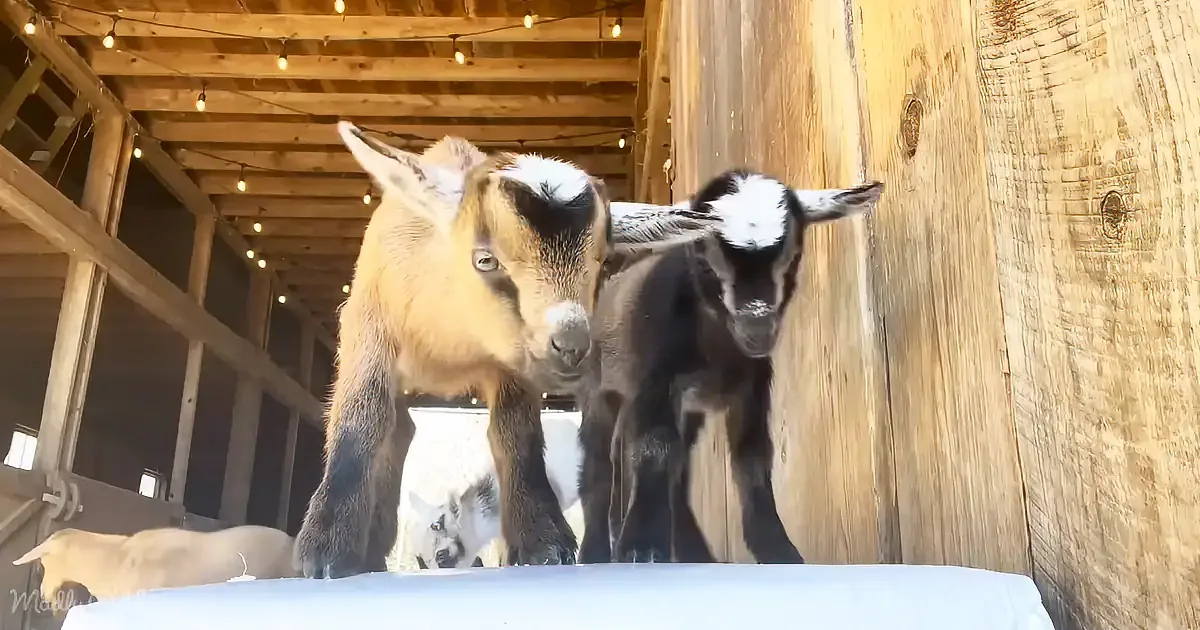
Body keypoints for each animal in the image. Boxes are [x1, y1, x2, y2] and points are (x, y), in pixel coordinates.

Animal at [295, 122, 719, 578]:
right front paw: (326, 548)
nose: (572, 346)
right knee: (395, 428)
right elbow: (362, 417)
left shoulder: (512, 362)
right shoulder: (368, 328)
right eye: (485, 260)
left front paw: (541, 540)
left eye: (605, 264)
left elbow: (516, 431)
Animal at [575, 169, 883, 564]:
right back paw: (597, 551)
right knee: (599, 464)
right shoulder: (654, 379)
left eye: (793, 256)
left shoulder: (749, 389)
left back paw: (692, 551)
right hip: (599, 390)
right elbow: (654, 448)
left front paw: (778, 550)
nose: (757, 326)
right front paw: (641, 546)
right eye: (706, 261)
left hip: (683, 408)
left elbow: (751, 459)